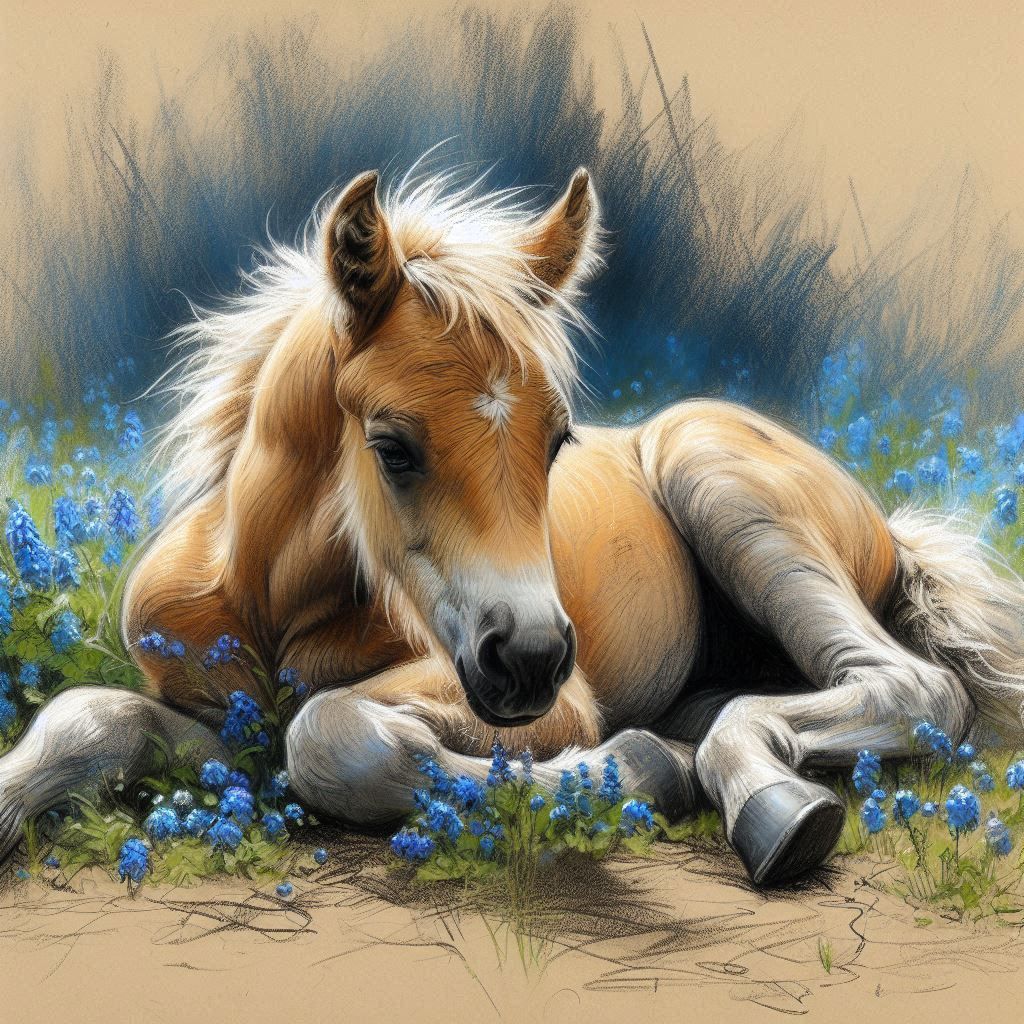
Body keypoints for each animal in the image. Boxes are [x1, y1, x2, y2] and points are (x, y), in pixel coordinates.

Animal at [3, 167, 1024, 884]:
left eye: (558, 437)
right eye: (392, 445)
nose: (530, 656)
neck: (265, 600)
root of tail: (888, 526)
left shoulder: (552, 708)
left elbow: (331, 732)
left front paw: (635, 770)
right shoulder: (220, 723)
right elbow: (87, 716)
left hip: (717, 478)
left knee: (913, 687)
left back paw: (762, 798)